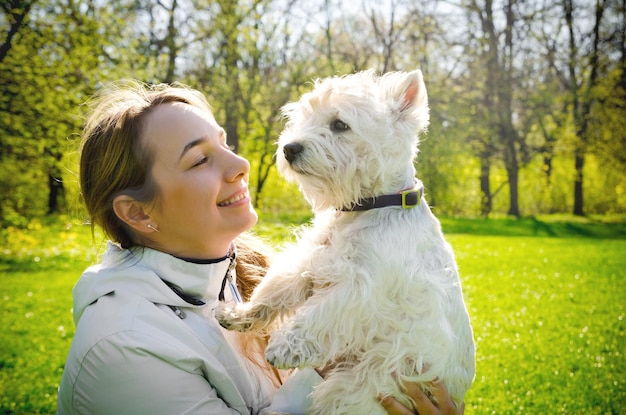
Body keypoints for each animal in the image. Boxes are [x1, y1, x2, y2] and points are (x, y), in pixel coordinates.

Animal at [214, 70, 472, 414]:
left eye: (339, 124)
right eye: (303, 117)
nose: (289, 149)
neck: (366, 207)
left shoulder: (359, 285)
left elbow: (318, 314)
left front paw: (284, 346)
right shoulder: (309, 263)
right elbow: (272, 291)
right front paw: (238, 315)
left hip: (365, 385)